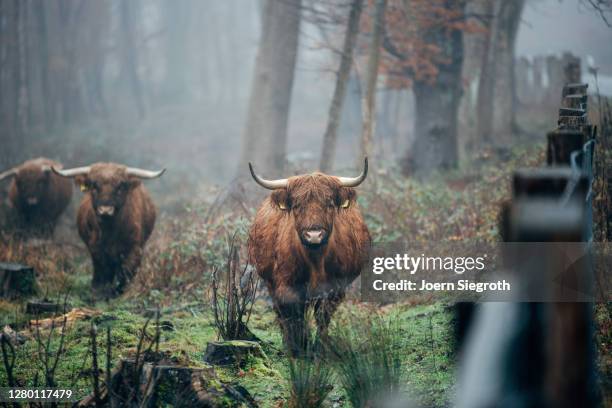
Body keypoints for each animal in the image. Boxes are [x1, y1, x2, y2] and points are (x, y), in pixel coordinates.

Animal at [52, 163, 165, 296]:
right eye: (94, 185)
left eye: (120, 186)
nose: (105, 210)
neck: (110, 232)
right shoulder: (96, 248)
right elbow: (104, 271)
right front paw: (101, 292)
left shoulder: (134, 248)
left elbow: (126, 272)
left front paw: (119, 292)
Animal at [246, 158, 370, 356]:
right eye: (297, 205)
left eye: (329, 204)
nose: (314, 235)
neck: (315, 261)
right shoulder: (286, 285)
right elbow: (294, 316)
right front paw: (298, 347)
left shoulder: (335, 288)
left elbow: (322, 317)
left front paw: (319, 349)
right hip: (270, 282)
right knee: (282, 313)